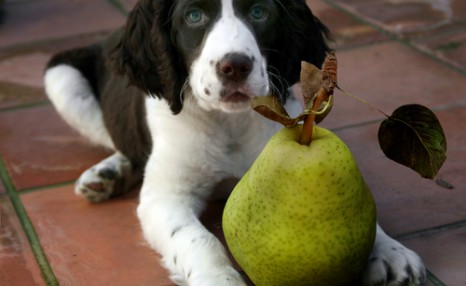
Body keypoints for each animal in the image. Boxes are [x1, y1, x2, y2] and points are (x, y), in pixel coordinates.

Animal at [45, 1, 428, 284]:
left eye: (259, 12)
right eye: (193, 16)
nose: (235, 67)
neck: (227, 122)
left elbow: (361, 206)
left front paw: (389, 252)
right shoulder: (165, 199)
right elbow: (198, 239)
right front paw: (219, 279)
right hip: (60, 76)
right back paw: (109, 172)